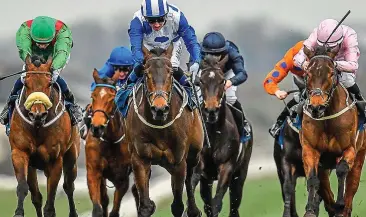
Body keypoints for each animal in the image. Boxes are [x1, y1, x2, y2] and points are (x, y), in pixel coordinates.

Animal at [9, 54, 80, 217]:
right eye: (26, 83)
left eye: (49, 84)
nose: (37, 114)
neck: (37, 126)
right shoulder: (19, 152)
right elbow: (23, 187)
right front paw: (18, 212)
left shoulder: (55, 160)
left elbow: (51, 196)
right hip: (33, 166)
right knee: (37, 197)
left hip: (71, 156)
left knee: (69, 186)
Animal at [85, 70, 135, 217]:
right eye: (93, 96)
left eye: (112, 98)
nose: (97, 127)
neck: (110, 140)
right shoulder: (93, 172)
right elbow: (98, 208)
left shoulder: (122, 179)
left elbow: (115, 211)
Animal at [124, 44, 204, 217]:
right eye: (146, 73)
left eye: (171, 72)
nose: (159, 108)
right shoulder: (140, 158)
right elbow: (145, 206)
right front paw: (148, 206)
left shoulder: (179, 161)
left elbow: (178, 205)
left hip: (194, 153)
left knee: (190, 179)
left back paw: (193, 209)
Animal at [190, 54, 253, 217]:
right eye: (201, 81)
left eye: (222, 81)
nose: (211, 110)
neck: (214, 133)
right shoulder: (200, 167)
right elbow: (193, 186)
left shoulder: (227, 167)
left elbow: (217, 202)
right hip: (207, 180)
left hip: (240, 174)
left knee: (234, 204)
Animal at [300, 46, 366, 217]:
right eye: (308, 73)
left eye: (331, 73)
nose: (316, 107)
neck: (327, 119)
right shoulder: (310, 149)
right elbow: (313, 178)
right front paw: (310, 209)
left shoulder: (349, 148)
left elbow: (342, 170)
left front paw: (340, 204)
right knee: (325, 188)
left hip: (360, 156)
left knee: (351, 185)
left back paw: (343, 207)